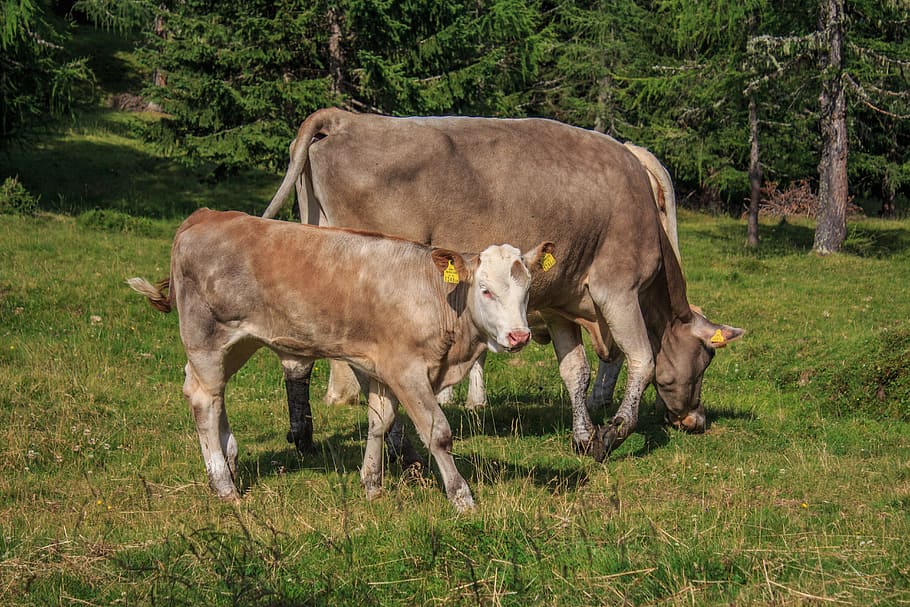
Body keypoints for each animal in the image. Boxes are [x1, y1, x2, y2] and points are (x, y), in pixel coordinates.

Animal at [128, 208, 554, 512]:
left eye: (526, 291)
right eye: (485, 290)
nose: (519, 336)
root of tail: (205, 216)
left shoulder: (382, 367)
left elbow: (380, 423)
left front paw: (372, 485)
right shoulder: (408, 370)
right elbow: (438, 432)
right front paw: (462, 497)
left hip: (239, 342)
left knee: (210, 395)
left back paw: (230, 464)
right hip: (206, 338)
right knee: (205, 400)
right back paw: (223, 485)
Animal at [263, 108, 744, 462]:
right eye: (706, 360)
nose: (696, 420)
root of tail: (343, 118)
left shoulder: (558, 300)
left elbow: (575, 371)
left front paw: (584, 436)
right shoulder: (618, 289)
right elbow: (642, 359)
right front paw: (613, 435)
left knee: (298, 357)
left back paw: (304, 435)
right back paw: (400, 447)